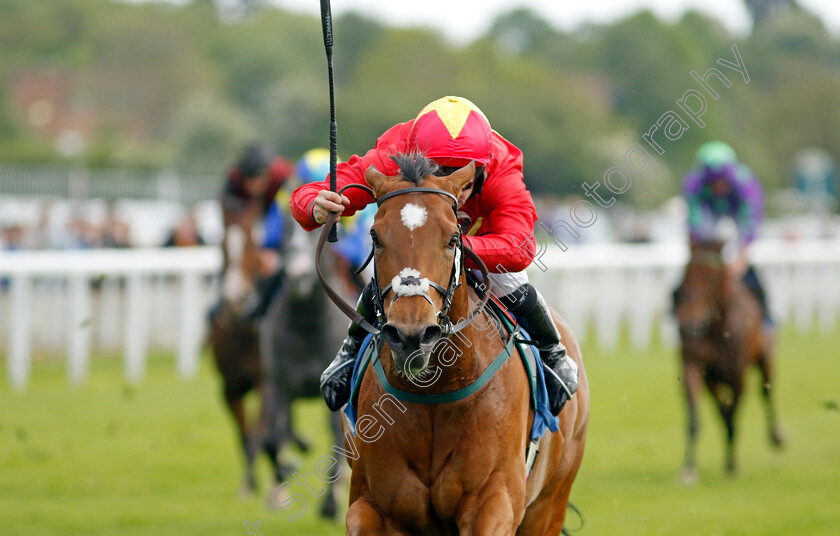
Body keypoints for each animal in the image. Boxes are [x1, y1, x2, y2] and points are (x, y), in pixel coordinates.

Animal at [332, 156, 592, 536]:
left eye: (454, 238)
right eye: (375, 236)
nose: (412, 335)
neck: (435, 392)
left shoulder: (493, 502)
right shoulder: (373, 506)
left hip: (549, 503)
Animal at [672, 240, 784, 482]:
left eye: (712, 278)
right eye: (686, 272)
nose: (689, 321)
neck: (715, 326)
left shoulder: (737, 375)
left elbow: (733, 416)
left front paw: (731, 466)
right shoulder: (695, 368)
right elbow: (696, 418)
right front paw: (689, 469)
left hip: (765, 358)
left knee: (766, 393)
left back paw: (776, 436)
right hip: (714, 379)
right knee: (722, 409)